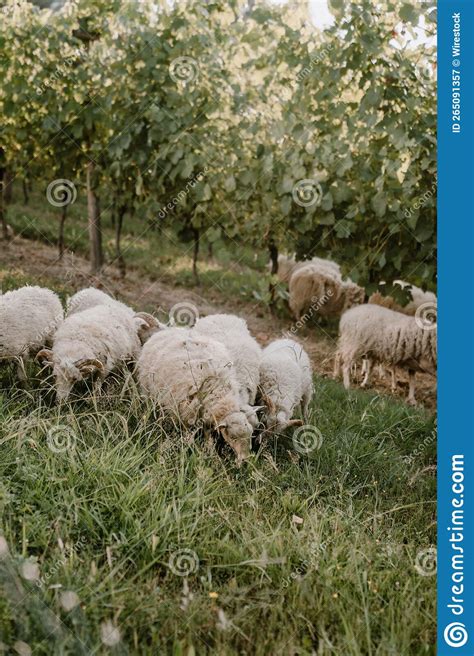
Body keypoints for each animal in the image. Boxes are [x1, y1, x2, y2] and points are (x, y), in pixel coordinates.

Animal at [137, 330, 254, 464]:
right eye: (232, 437)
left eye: (251, 434)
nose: (245, 460)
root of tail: (164, 331)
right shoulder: (187, 413)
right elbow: (188, 434)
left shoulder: (207, 415)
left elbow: (208, 434)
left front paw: (209, 450)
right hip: (149, 393)